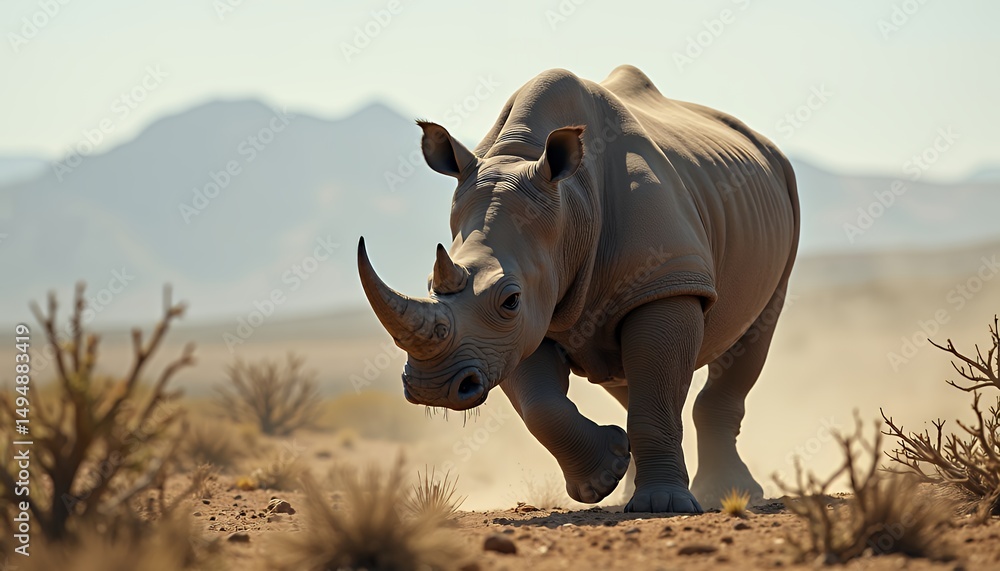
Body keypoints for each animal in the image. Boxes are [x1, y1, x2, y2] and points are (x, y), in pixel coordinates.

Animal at [358, 65, 799, 513]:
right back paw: (627, 488)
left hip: (782, 189)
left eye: (510, 299)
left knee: (753, 333)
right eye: (430, 285)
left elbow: (655, 393)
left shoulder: (667, 282)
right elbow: (540, 405)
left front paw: (662, 505)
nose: (431, 387)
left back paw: (730, 494)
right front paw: (601, 478)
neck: (569, 208)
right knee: (628, 376)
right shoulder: (518, 329)